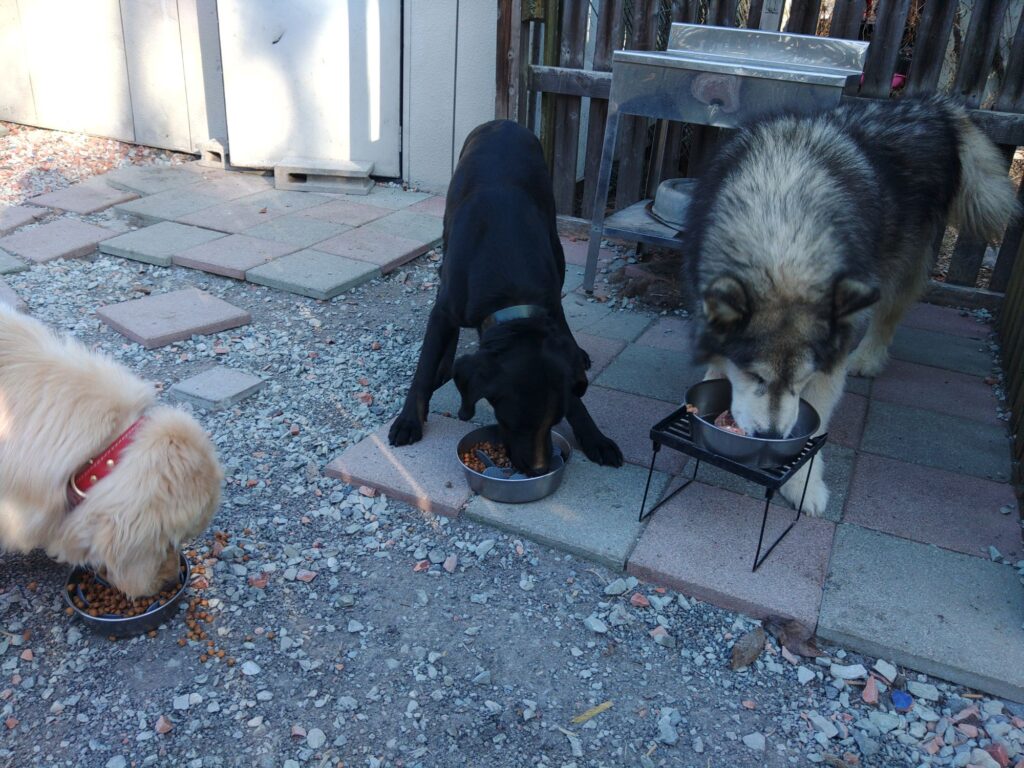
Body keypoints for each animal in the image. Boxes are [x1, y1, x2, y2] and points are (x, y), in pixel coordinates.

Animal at [389, 120, 623, 473]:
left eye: (554, 422)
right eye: (512, 422)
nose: (539, 469)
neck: (510, 295)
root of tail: (504, 122)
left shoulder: (549, 310)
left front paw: (594, 435)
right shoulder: (444, 309)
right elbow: (424, 367)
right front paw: (408, 420)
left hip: (557, 246)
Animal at [682, 95, 1018, 514]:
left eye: (801, 380)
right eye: (755, 377)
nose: (769, 434)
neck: (784, 232)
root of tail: (936, 106)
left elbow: (816, 422)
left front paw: (804, 486)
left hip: (898, 265)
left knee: (889, 314)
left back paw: (869, 357)